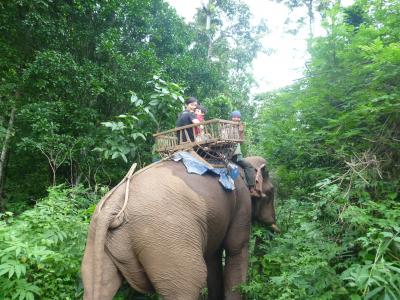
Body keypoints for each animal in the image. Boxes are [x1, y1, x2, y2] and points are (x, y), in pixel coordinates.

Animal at [81, 156, 278, 298]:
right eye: (272, 192)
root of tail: (114, 207)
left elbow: (213, 259)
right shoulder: (241, 203)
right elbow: (236, 249)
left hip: (96, 241)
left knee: (100, 285)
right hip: (168, 242)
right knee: (190, 282)